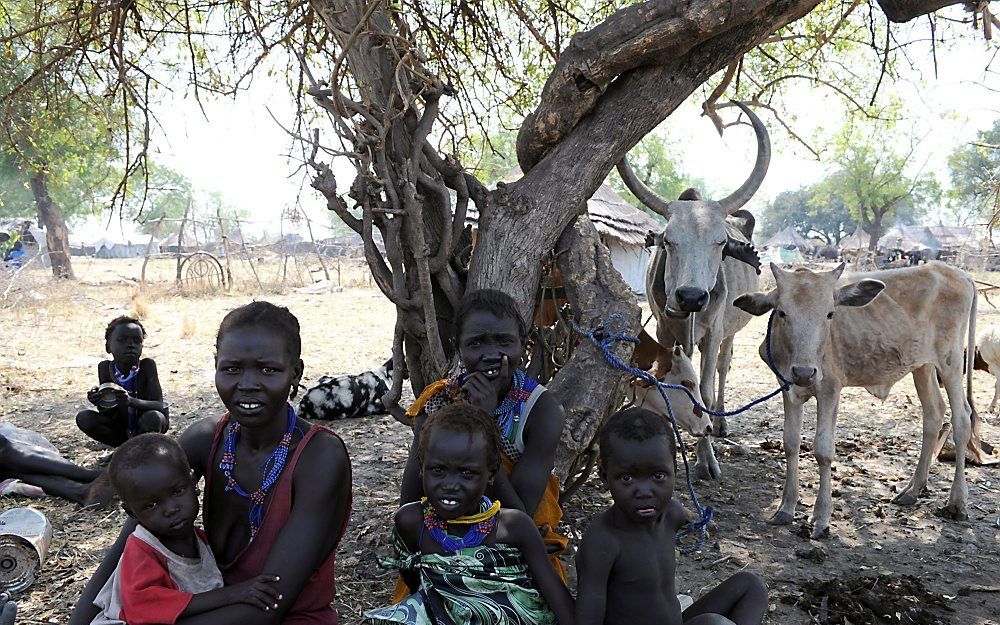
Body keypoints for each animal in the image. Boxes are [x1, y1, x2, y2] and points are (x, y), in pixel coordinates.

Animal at [736, 260, 976, 540]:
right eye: (782, 313)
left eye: (830, 314)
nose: (805, 372)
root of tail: (957, 273)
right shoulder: (788, 387)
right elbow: (791, 443)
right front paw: (786, 508)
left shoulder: (830, 388)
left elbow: (823, 450)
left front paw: (821, 517)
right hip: (922, 366)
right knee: (934, 414)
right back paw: (912, 490)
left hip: (951, 362)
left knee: (962, 420)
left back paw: (957, 502)